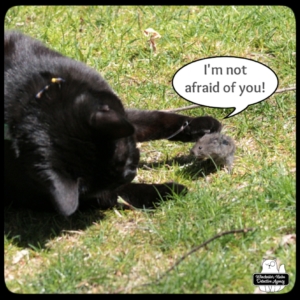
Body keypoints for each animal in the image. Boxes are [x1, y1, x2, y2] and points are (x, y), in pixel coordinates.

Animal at [3, 31, 221, 216]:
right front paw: (167, 190)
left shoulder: (120, 113)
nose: (132, 173)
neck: (38, 97)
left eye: (129, 158)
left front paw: (201, 126)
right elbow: (124, 192)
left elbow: (154, 119)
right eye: (126, 168)